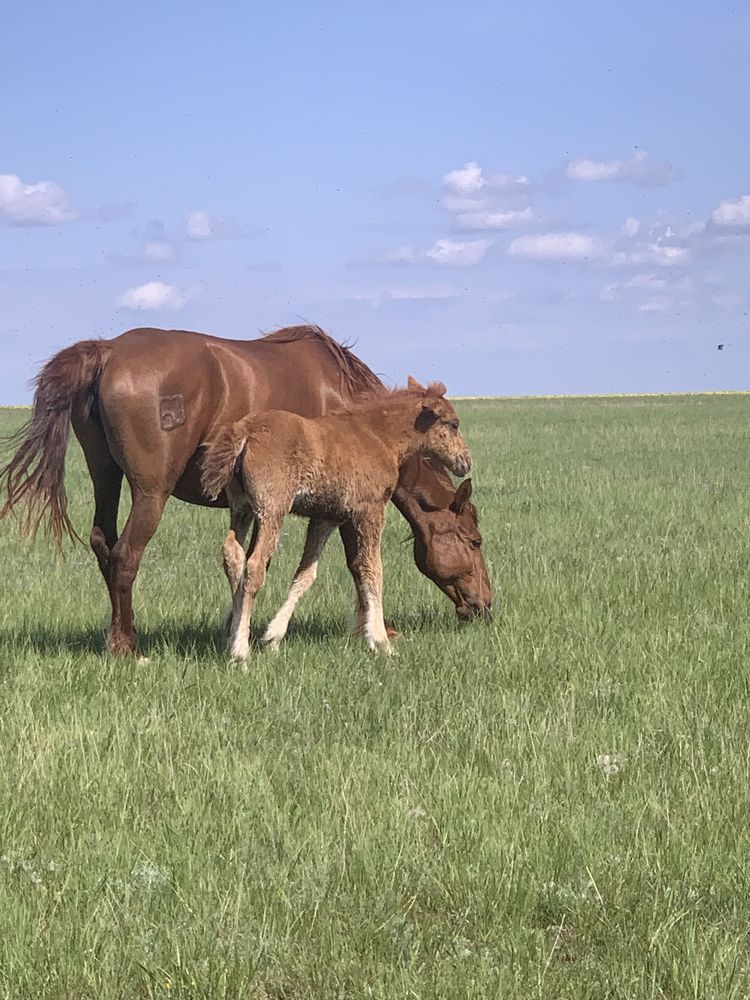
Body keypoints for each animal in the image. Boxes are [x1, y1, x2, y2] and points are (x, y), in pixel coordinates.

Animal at [1, 326, 494, 656]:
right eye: (474, 541)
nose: (485, 607)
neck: (359, 418)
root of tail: (109, 351)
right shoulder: (345, 506)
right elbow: (359, 567)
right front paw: (378, 631)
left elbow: (254, 565)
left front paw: (239, 627)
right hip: (150, 493)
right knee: (125, 555)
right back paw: (128, 647)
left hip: (105, 477)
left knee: (103, 544)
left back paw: (116, 636)